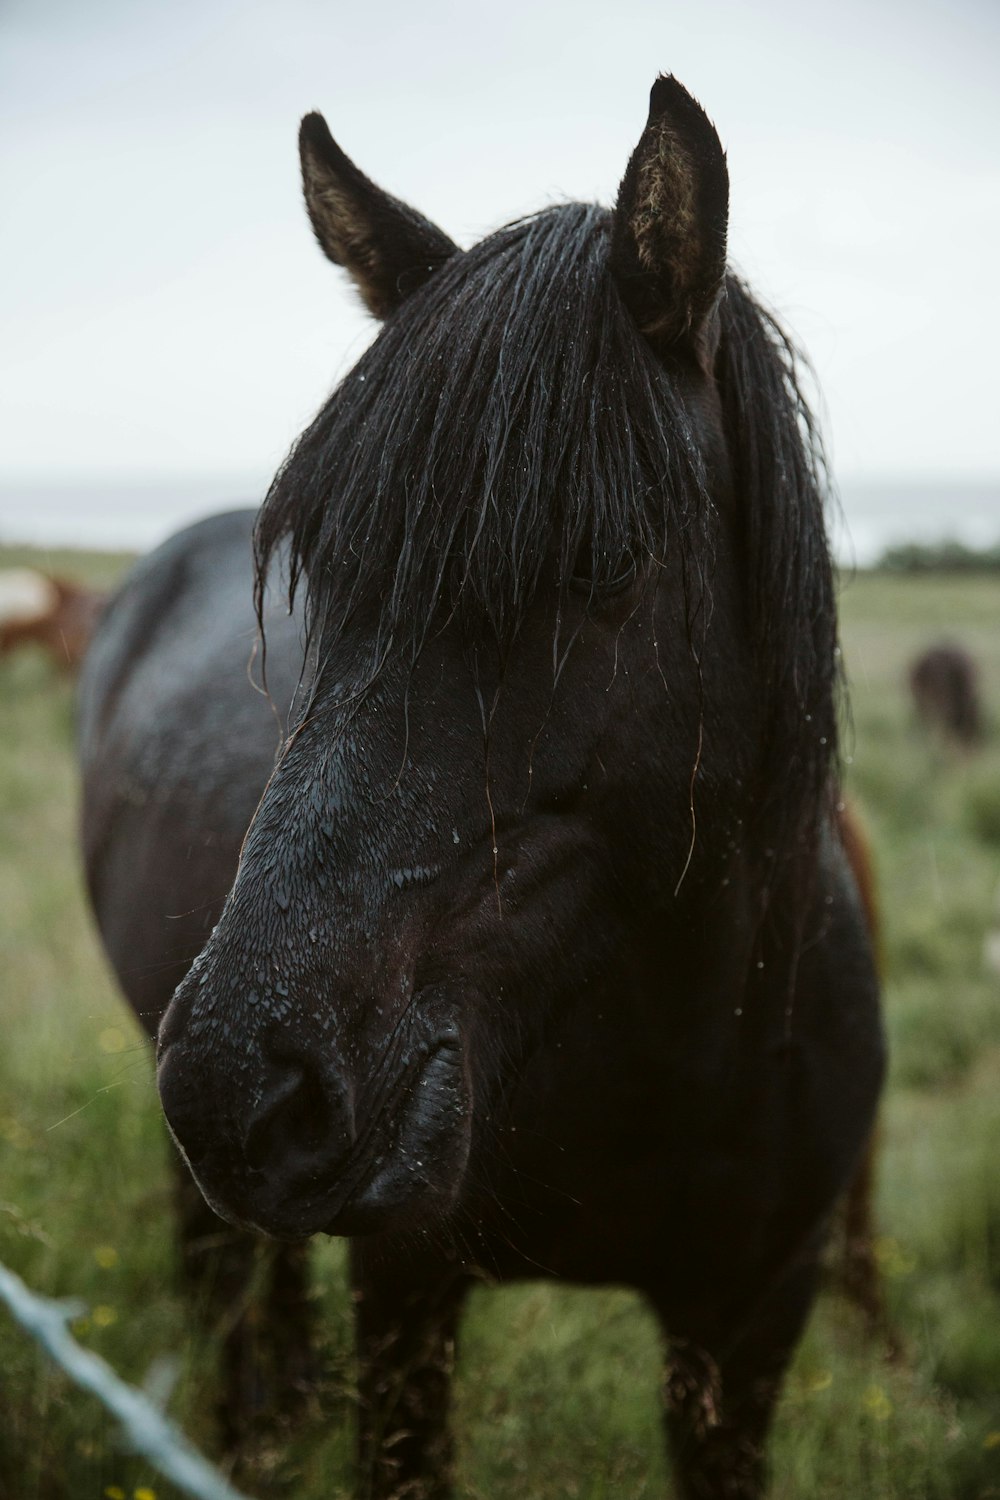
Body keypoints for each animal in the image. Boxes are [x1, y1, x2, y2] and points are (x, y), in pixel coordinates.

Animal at [83, 79, 881, 1500]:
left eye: (608, 562)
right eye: (317, 572)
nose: (243, 1084)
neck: (688, 1053)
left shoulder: (749, 1327)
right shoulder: (405, 1291)